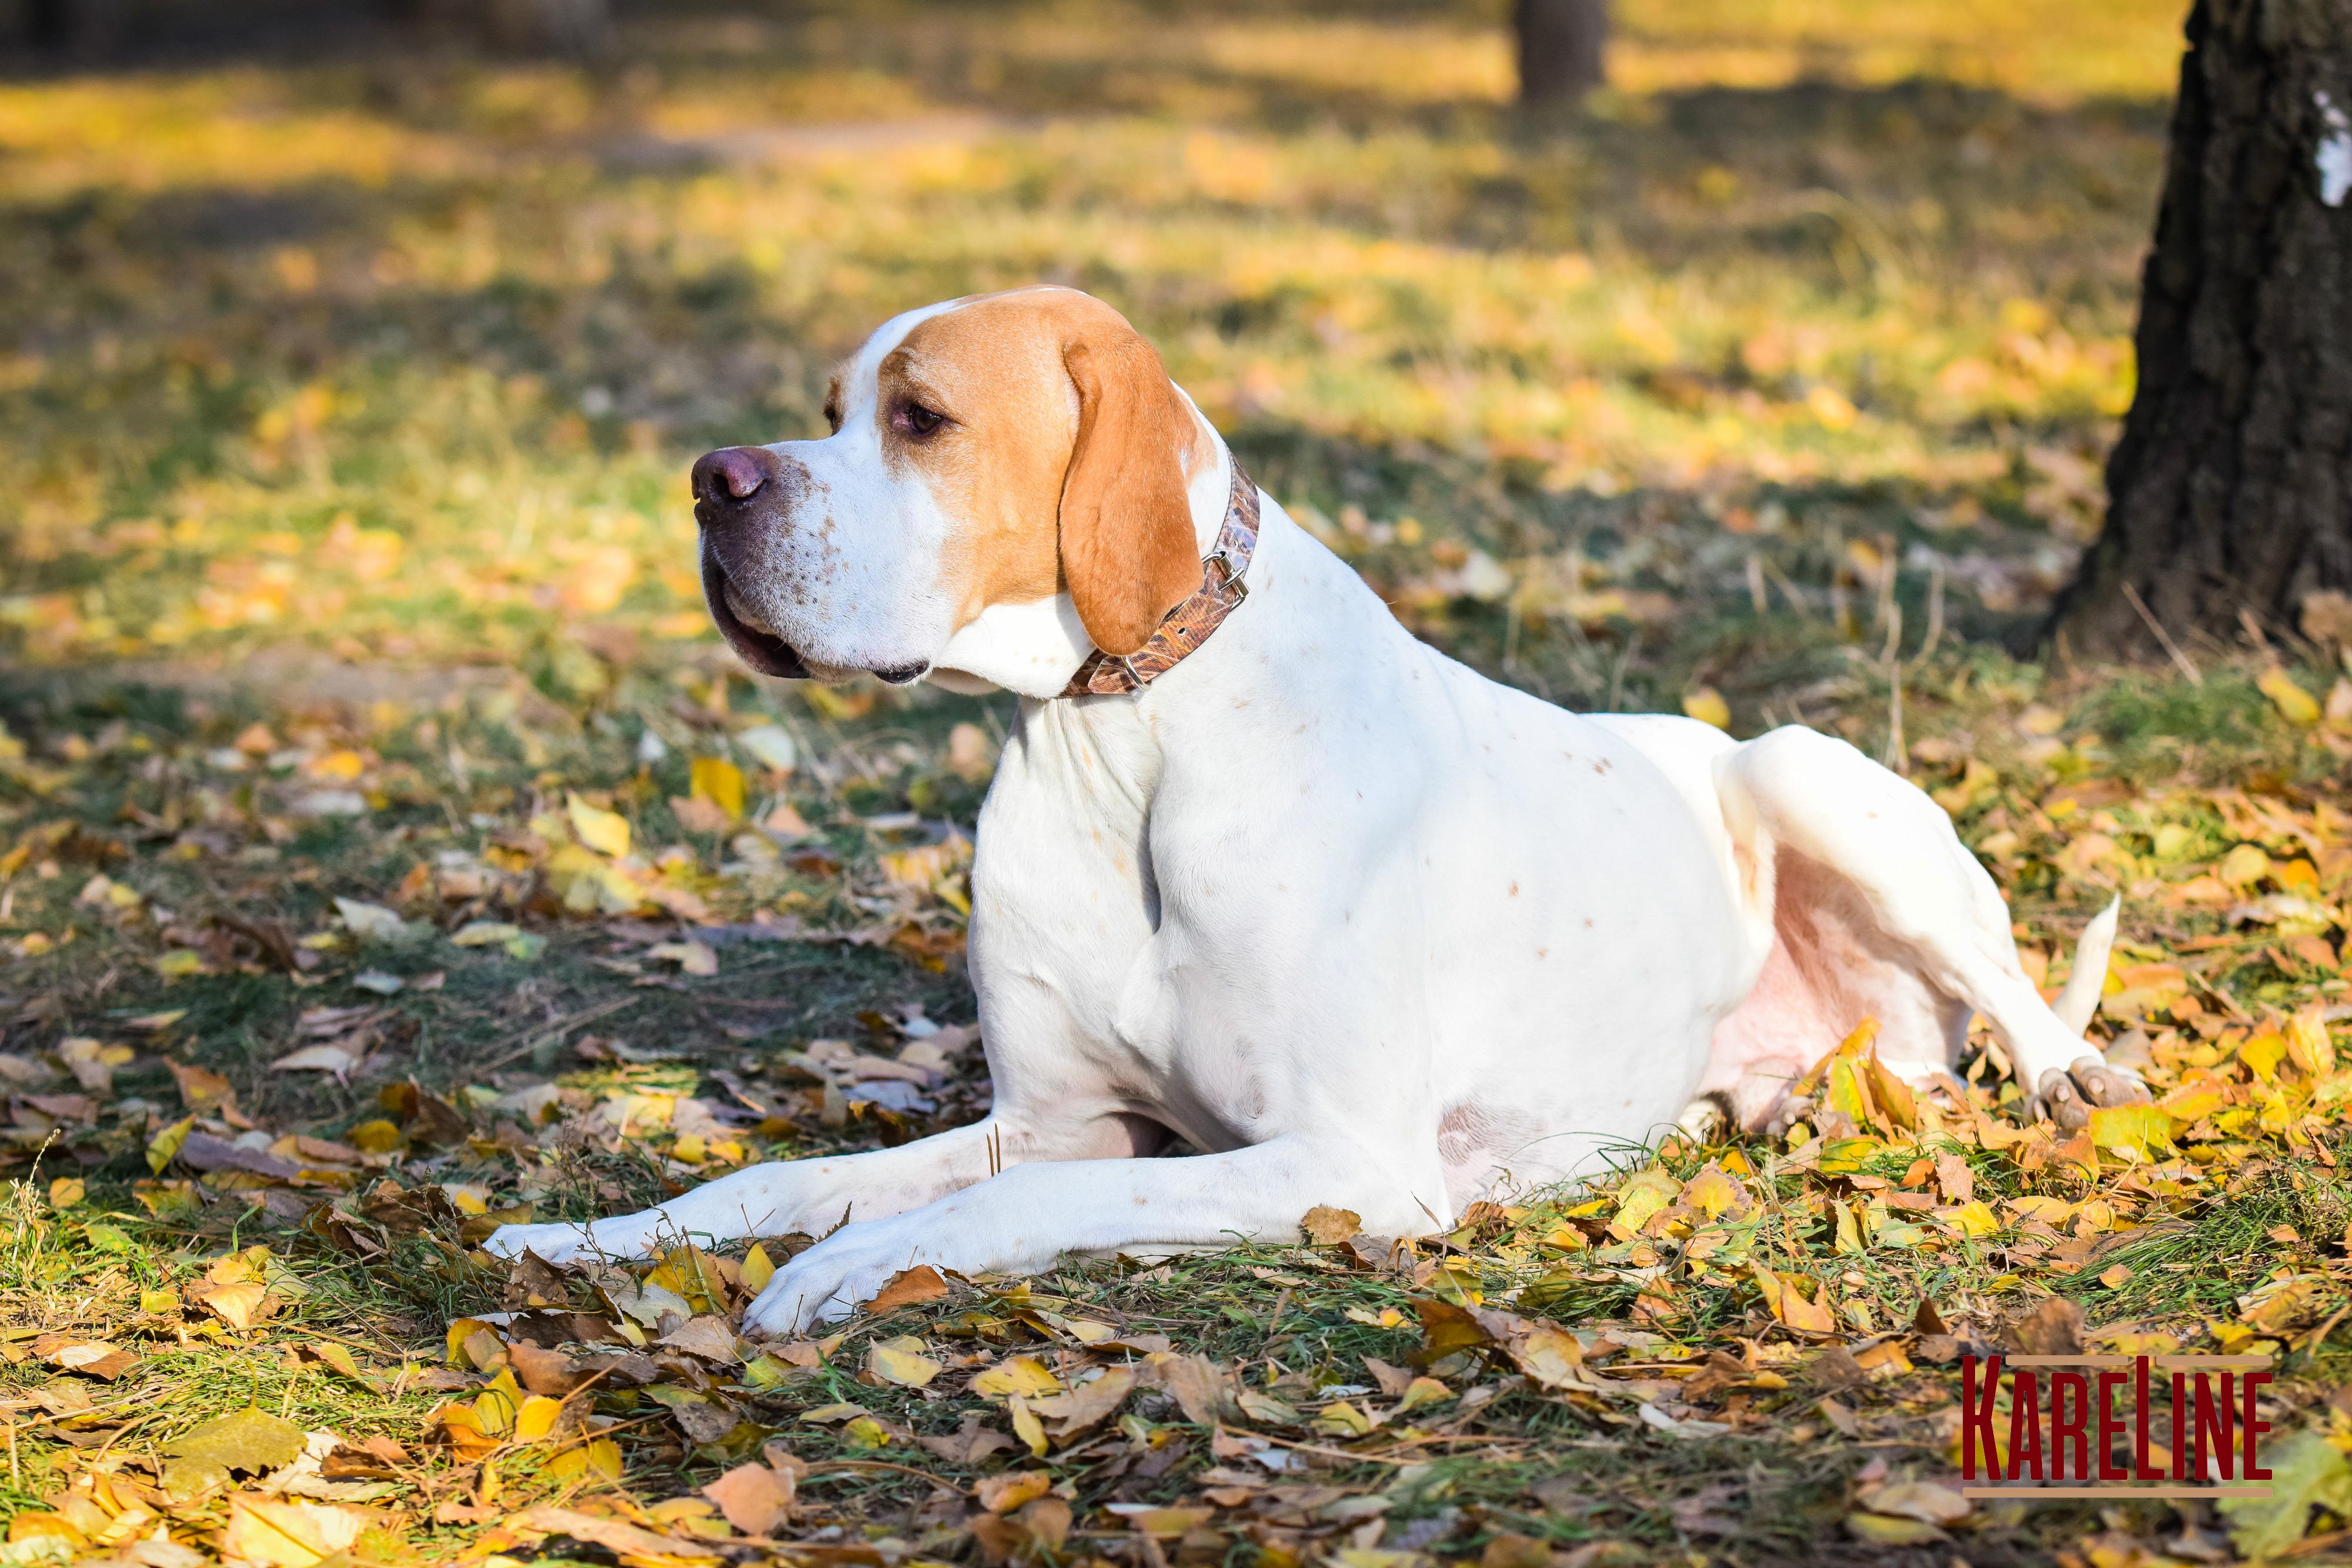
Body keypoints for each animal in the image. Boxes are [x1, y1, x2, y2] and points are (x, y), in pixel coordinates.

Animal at [492, 287, 2154, 1335]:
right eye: (830, 409)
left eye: (921, 418)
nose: (712, 478)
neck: (1126, 736)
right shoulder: (1052, 1119)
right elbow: (780, 1177)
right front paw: (587, 1237)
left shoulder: (1340, 1164)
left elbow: (1000, 1211)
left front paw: (847, 1272)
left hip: (1797, 764)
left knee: (2018, 998)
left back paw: (2074, 1077)